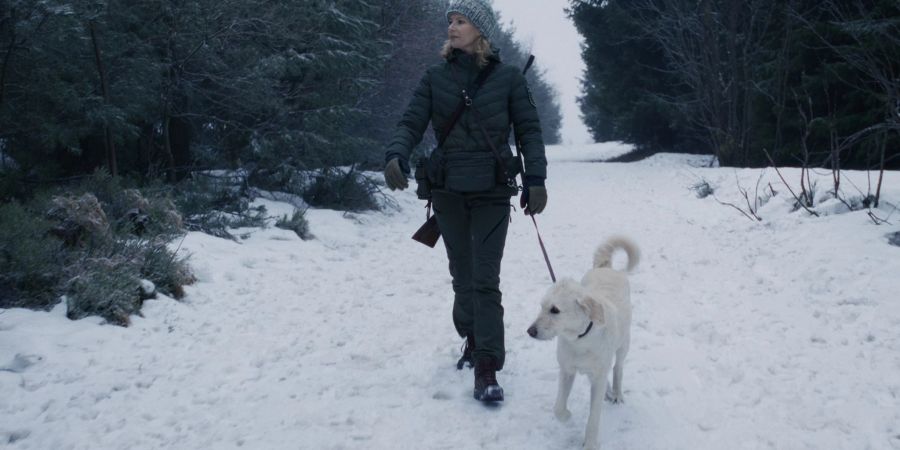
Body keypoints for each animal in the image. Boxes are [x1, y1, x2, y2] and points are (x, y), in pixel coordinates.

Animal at [528, 236, 640, 450]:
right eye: (542, 306)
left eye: (555, 310)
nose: (530, 331)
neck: (580, 340)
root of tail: (605, 267)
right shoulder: (566, 370)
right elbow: (558, 408)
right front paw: (567, 416)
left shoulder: (597, 376)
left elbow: (594, 416)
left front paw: (590, 443)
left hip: (624, 343)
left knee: (618, 368)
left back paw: (617, 393)